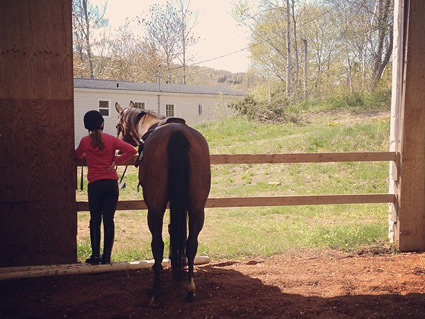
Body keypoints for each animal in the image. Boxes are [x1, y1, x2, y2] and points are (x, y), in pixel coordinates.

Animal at [114, 101, 210, 304]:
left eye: (118, 125)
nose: (118, 148)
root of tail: (177, 133)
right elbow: (175, 231)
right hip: (198, 208)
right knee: (191, 244)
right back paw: (190, 287)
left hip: (155, 208)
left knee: (157, 244)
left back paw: (156, 289)